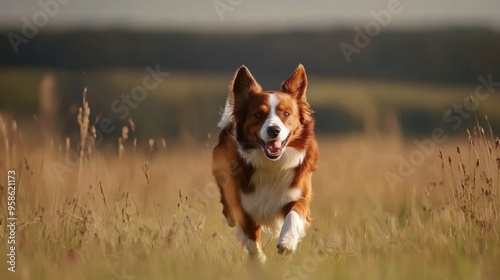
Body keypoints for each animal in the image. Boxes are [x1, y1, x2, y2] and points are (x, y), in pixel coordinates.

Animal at [213, 63, 318, 262]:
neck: (272, 164)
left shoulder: (299, 193)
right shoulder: (243, 205)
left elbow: (294, 214)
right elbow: (252, 240)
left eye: (286, 113)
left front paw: (287, 242)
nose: (273, 130)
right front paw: (259, 261)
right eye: (258, 115)